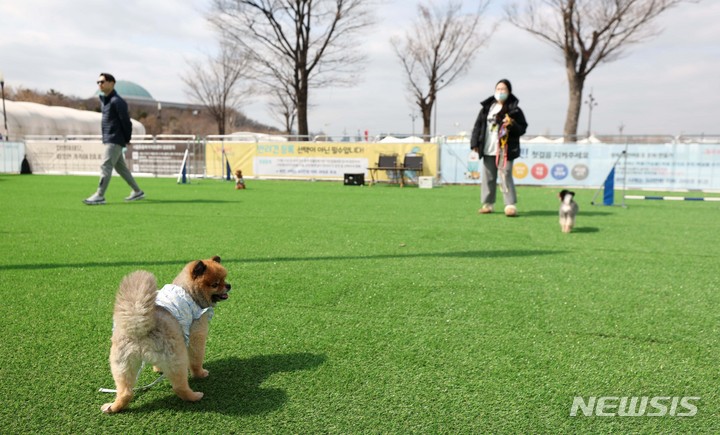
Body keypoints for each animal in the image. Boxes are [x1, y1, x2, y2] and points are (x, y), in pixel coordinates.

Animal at [101, 258, 229, 414]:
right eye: (215, 284)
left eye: (224, 279)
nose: (228, 285)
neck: (189, 292)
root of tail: (140, 325)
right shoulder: (197, 334)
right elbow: (196, 359)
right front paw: (200, 373)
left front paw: (158, 369)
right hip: (177, 357)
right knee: (179, 386)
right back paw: (194, 396)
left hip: (122, 363)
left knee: (125, 391)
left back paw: (113, 407)